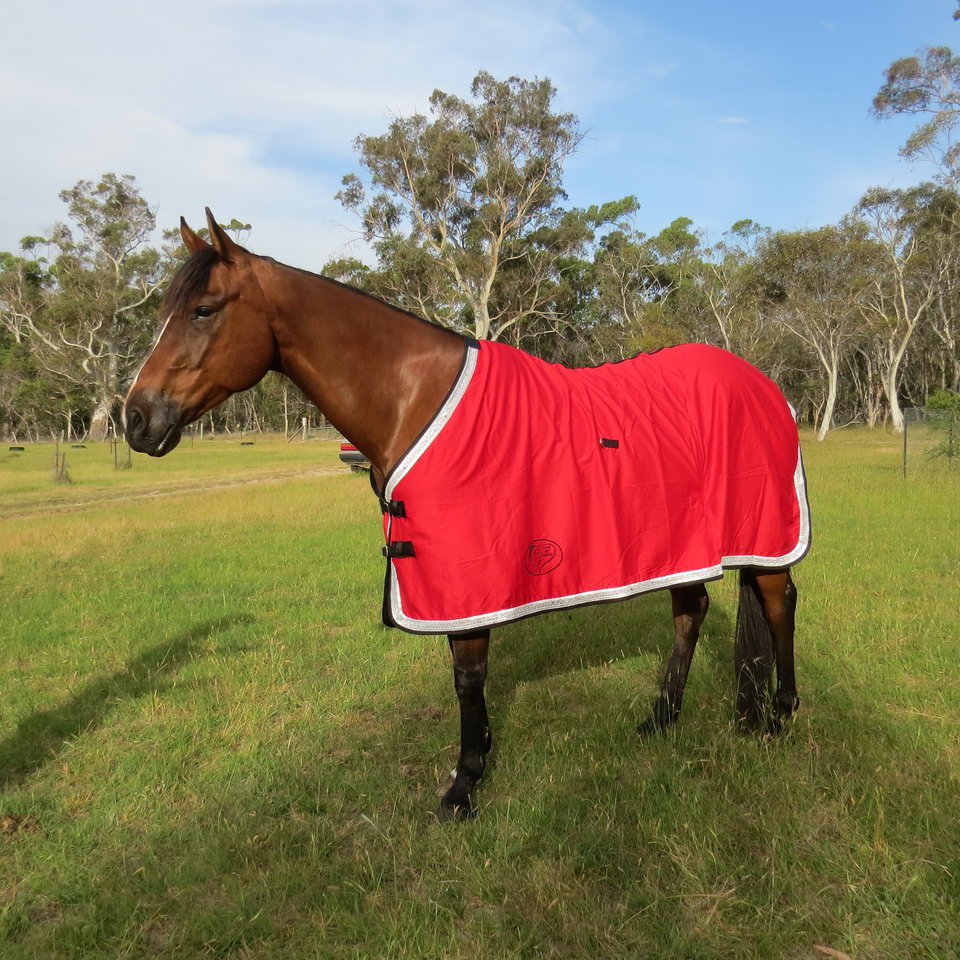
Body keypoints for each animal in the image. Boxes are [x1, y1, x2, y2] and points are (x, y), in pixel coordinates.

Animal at [124, 210, 809, 820]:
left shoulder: (467, 577)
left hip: (765, 534)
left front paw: (464, 783)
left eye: (204, 309)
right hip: (681, 542)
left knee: (779, 603)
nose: (134, 418)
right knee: (691, 611)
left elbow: (467, 677)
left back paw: (781, 713)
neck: (412, 398)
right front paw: (478, 756)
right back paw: (661, 718)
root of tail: (761, 382)